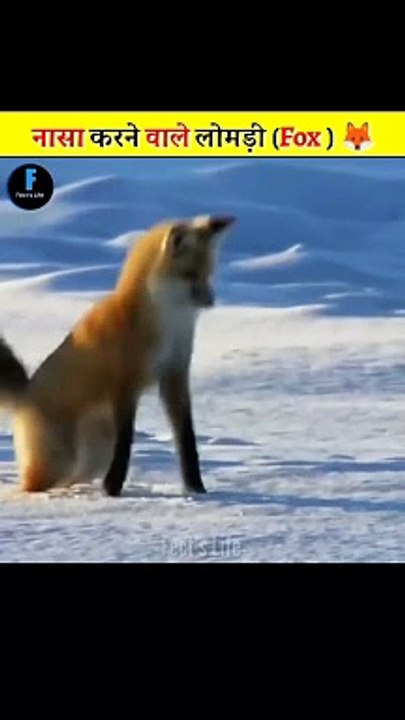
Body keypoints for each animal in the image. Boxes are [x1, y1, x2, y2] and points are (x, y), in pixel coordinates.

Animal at [0, 214, 235, 496]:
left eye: (209, 274)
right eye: (190, 275)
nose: (212, 301)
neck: (167, 326)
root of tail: (24, 397)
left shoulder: (175, 376)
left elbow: (187, 441)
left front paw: (195, 488)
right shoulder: (124, 384)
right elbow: (127, 441)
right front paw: (113, 488)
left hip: (92, 460)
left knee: (69, 479)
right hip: (60, 460)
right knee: (31, 485)